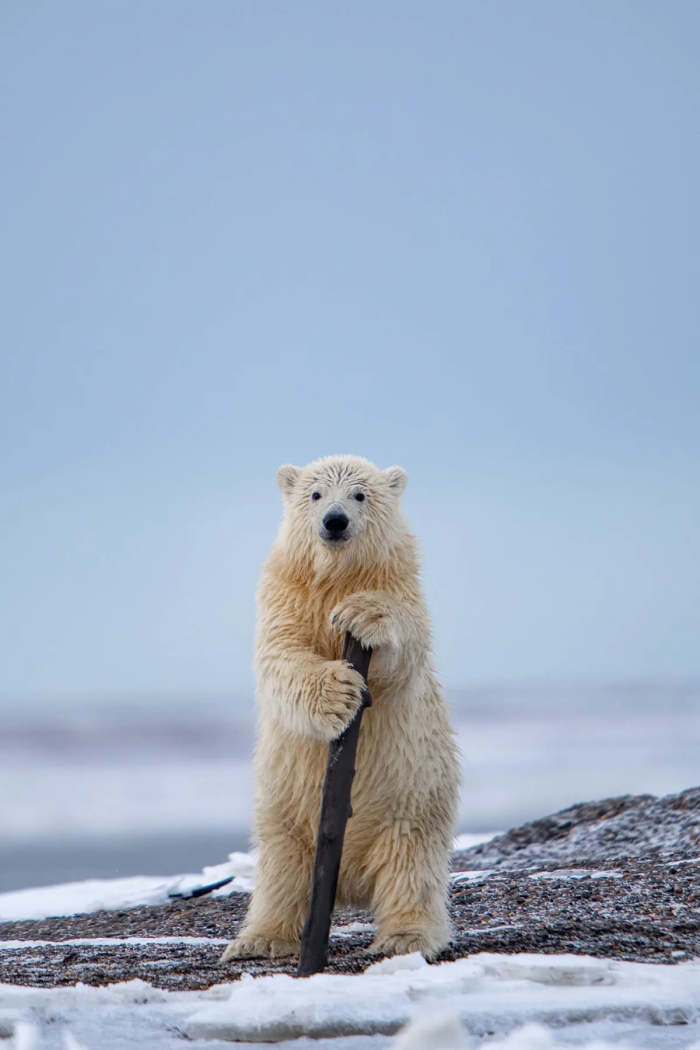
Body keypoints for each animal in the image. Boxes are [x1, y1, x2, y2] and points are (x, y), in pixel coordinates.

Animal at [221, 455, 460, 963]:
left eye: (359, 494)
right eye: (315, 494)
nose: (334, 521)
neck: (336, 577)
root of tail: (350, 884)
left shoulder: (402, 589)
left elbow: (403, 648)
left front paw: (360, 614)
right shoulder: (285, 597)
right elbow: (281, 656)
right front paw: (338, 694)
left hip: (414, 798)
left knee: (411, 868)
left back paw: (405, 936)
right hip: (285, 810)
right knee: (280, 871)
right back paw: (259, 939)